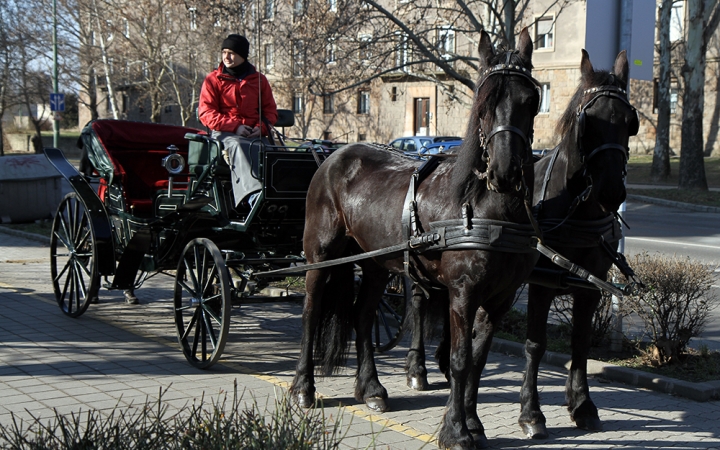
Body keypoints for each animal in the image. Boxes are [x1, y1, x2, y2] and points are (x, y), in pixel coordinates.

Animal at [292, 29, 540, 450]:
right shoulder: (462, 292)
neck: (484, 208)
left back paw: (371, 389)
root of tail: (332, 156)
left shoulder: (501, 297)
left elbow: (478, 358)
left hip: (375, 263)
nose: (504, 172)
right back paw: (303, 388)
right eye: (484, 103)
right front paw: (456, 430)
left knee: (362, 315)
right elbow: (459, 358)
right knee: (311, 311)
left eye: (530, 100)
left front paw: (474, 424)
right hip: (322, 256)